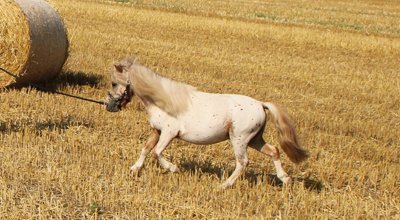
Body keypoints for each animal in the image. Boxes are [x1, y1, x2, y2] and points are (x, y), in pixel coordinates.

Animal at [104, 57, 308, 188]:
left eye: (114, 83)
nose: (109, 106)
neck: (163, 101)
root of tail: (260, 104)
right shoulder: (157, 130)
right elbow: (146, 149)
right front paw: (134, 169)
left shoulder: (169, 133)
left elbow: (156, 152)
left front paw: (173, 168)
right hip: (255, 139)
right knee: (274, 151)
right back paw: (286, 180)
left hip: (239, 140)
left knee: (243, 162)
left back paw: (224, 185)